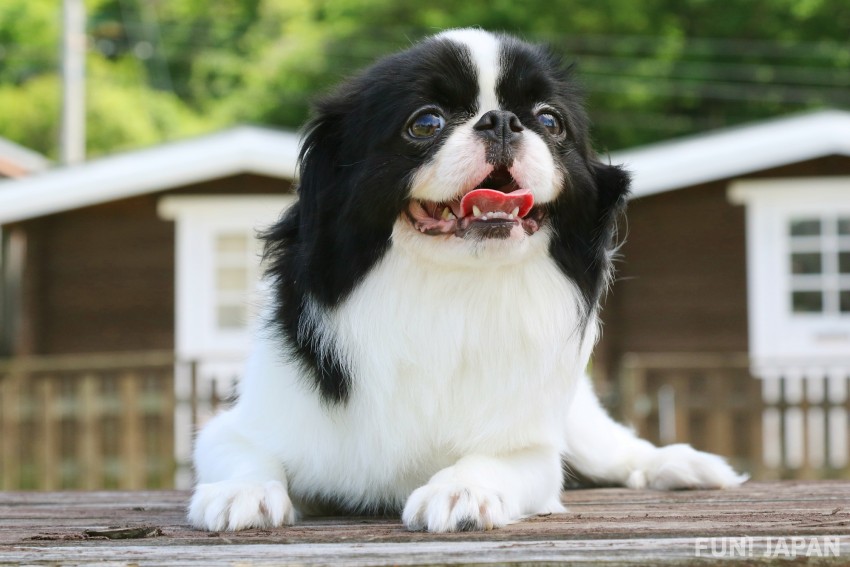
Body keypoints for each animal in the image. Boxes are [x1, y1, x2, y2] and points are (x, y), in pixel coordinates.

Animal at [189, 27, 744, 532]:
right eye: (426, 122)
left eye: (550, 120)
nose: (502, 121)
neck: (450, 290)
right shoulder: (235, 426)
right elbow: (247, 454)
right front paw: (241, 492)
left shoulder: (532, 450)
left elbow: (494, 461)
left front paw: (461, 490)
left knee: (621, 452)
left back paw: (682, 465)